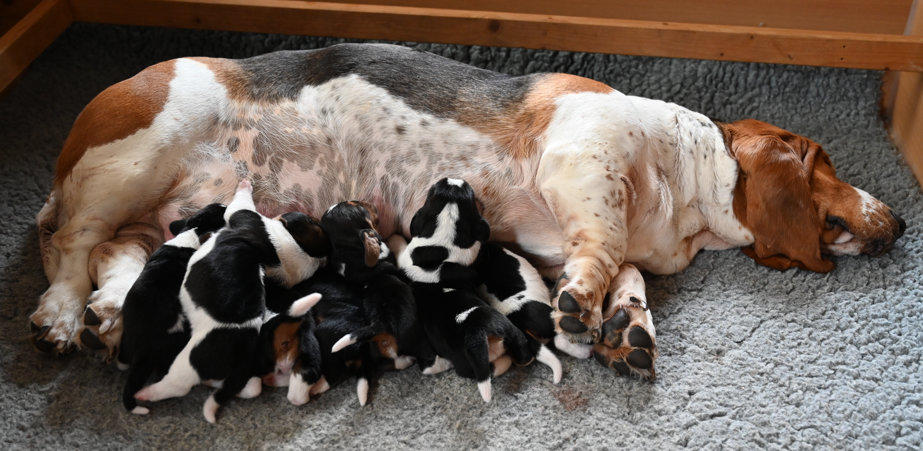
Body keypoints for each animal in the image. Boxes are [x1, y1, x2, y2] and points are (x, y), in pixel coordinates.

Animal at [133, 180, 325, 423]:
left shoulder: (242, 214)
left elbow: (238, 204)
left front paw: (244, 185)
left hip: (189, 362)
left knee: (177, 385)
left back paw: (146, 393)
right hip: (288, 366)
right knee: (277, 388)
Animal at [398, 178, 561, 402]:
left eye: (432, 192)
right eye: (471, 196)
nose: (452, 180)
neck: (440, 250)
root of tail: (476, 332)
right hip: (507, 333)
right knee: (516, 359)